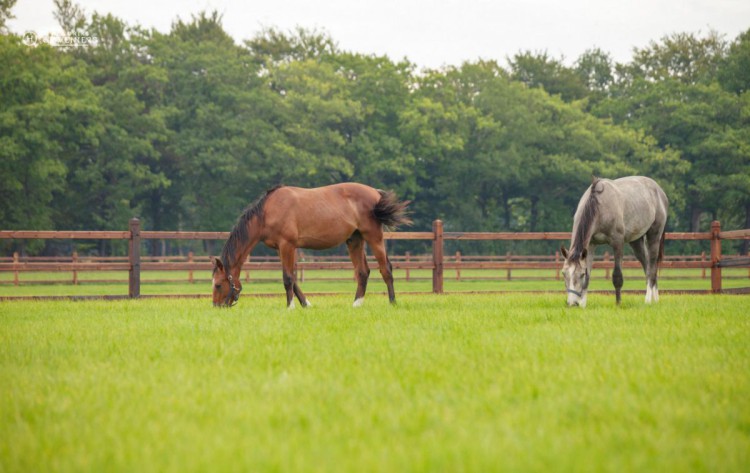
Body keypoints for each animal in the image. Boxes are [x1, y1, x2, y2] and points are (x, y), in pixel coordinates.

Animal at [212, 183, 412, 308]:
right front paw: (306, 304)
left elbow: (287, 278)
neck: (268, 211)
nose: (216, 306)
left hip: (373, 237)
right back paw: (356, 304)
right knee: (363, 272)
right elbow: (293, 279)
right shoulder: (281, 249)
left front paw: (290, 307)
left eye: (218, 285)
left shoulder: (287, 245)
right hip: (354, 240)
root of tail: (376, 193)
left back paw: (392, 303)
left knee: (386, 269)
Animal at [560, 176, 672, 306]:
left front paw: (618, 303)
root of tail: (659, 190)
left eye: (581, 274)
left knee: (652, 268)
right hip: (636, 242)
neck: (598, 207)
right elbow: (588, 277)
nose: (572, 303)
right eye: (564, 273)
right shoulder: (590, 245)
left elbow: (617, 276)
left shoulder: (617, 243)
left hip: (654, 236)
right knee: (647, 266)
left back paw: (648, 300)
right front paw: (583, 305)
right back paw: (655, 299)